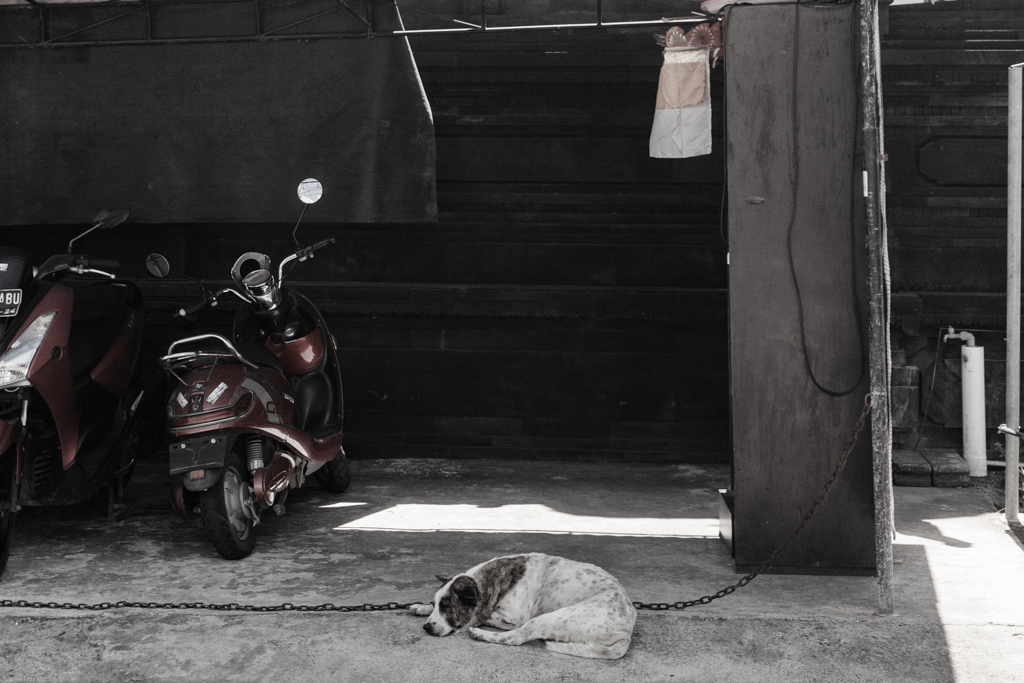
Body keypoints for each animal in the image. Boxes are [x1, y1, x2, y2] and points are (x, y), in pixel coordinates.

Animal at [405, 552, 630, 659]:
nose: (427, 627)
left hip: (550, 618)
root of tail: (626, 631)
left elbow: (484, 614)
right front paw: (421, 606)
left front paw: (475, 621)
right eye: (437, 604)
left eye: (447, 607)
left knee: (515, 638)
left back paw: (480, 634)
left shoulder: (512, 618)